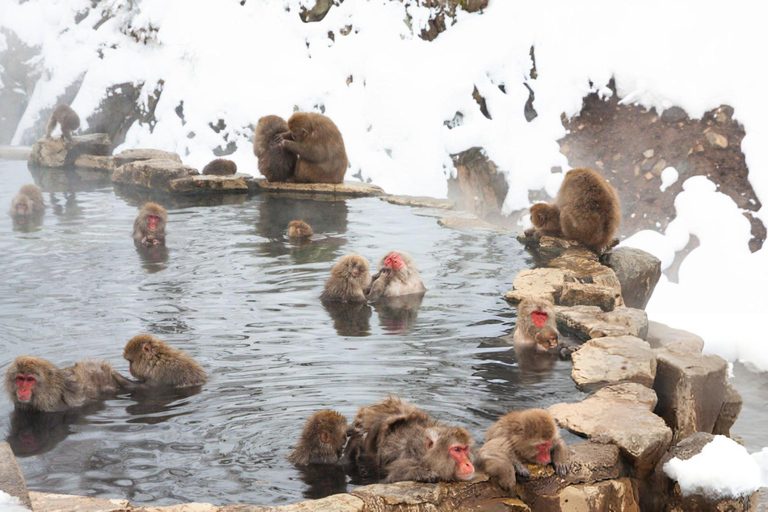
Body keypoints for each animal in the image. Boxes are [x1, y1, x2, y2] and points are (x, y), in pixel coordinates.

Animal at [342, 396, 475, 484]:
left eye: (465, 449)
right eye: (457, 450)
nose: (468, 464)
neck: (419, 451)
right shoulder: (404, 457)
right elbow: (392, 477)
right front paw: (419, 473)